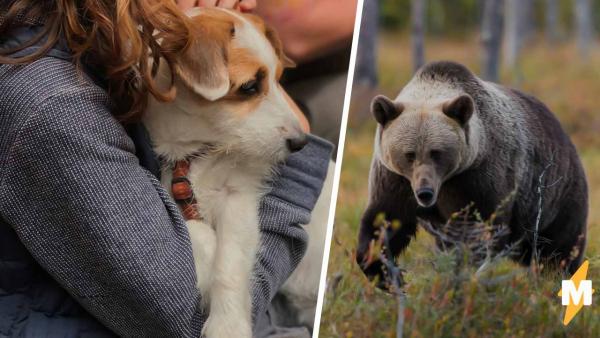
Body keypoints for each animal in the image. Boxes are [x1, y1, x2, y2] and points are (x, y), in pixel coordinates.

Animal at [358, 60, 588, 286]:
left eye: (436, 152)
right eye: (410, 154)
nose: (425, 192)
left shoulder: (479, 177)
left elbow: (479, 228)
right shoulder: (395, 179)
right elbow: (386, 219)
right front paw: (385, 272)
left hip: (555, 195)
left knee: (559, 247)